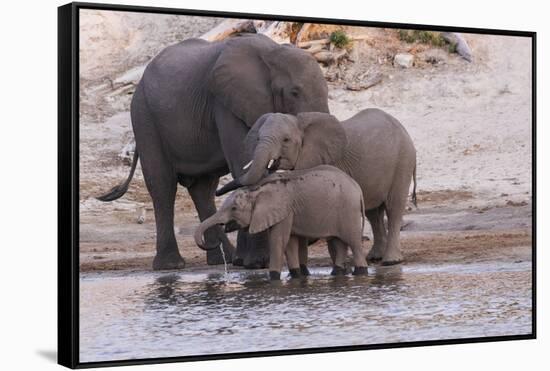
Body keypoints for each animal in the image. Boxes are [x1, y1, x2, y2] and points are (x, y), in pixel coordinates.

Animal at [96, 33, 330, 270]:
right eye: (294, 92)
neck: (272, 53)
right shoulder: (226, 104)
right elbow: (244, 164)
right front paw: (257, 264)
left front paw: (245, 263)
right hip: (144, 118)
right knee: (162, 186)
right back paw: (171, 266)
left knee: (203, 190)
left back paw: (221, 259)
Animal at [194, 166, 366, 282]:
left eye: (234, 208)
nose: (215, 242)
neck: (257, 191)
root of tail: (358, 188)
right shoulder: (285, 213)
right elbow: (289, 242)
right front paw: (295, 276)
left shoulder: (284, 211)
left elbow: (278, 241)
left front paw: (274, 279)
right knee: (339, 242)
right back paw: (336, 274)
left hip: (348, 210)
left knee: (353, 242)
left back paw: (360, 272)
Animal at [216, 109, 418, 266]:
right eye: (257, 138)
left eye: (286, 140)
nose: (217, 191)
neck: (300, 122)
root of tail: (402, 128)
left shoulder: (329, 161)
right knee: (373, 212)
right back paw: (375, 257)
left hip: (403, 160)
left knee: (393, 208)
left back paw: (391, 261)